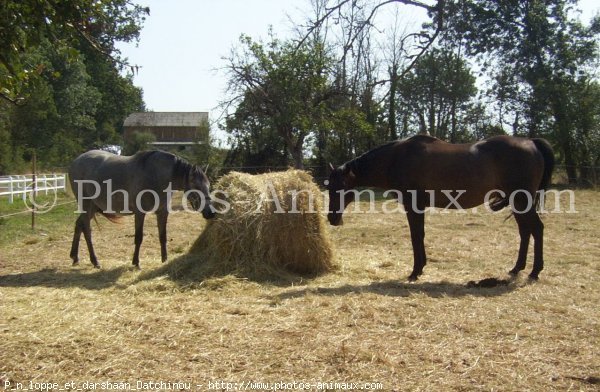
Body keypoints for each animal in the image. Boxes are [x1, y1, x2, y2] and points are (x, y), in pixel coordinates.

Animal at [69, 149, 217, 268]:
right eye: (196, 186)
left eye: (208, 186)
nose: (210, 213)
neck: (155, 175)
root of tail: (76, 161)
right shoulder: (140, 213)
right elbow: (139, 237)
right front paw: (136, 263)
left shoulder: (162, 212)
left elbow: (163, 236)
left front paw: (164, 260)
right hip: (86, 204)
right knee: (87, 231)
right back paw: (95, 261)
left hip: (93, 207)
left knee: (79, 225)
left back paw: (75, 257)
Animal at [326, 135, 556, 282]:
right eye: (328, 187)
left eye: (342, 187)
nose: (331, 218)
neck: (397, 158)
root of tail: (531, 142)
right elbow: (419, 235)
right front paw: (421, 267)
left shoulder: (413, 205)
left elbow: (416, 236)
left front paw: (415, 271)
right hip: (518, 203)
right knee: (525, 231)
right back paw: (517, 268)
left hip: (522, 201)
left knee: (537, 229)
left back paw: (535, 271)